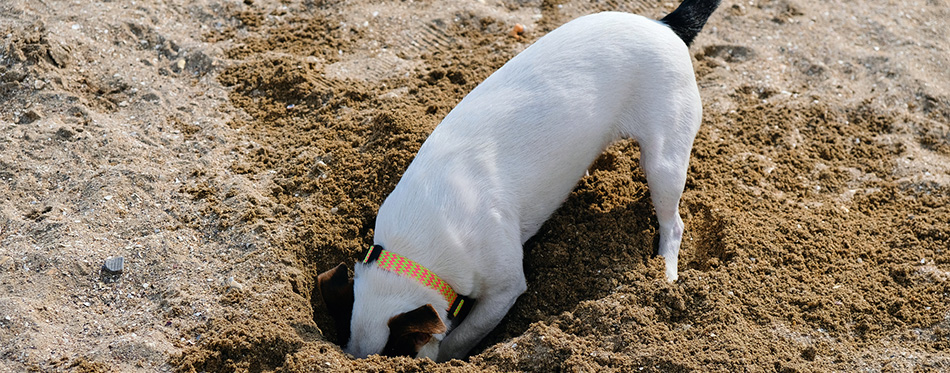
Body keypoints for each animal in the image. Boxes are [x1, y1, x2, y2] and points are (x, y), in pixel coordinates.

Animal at [320, 0, 720, 360]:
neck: (415, 246)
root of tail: (665, 25)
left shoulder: (504, 289)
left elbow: (460, 338)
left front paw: (447, 356)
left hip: (664, 159)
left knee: (674, 222)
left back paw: (665, 272)